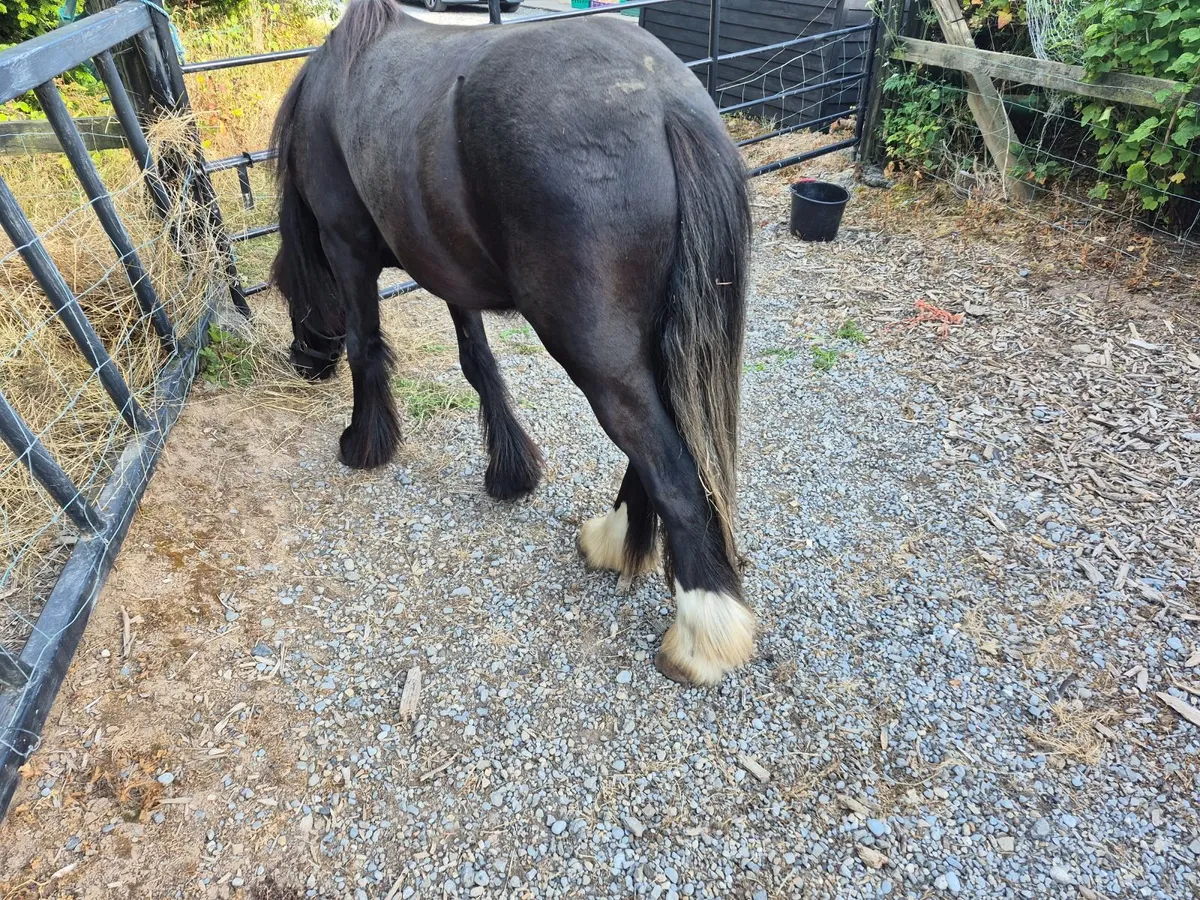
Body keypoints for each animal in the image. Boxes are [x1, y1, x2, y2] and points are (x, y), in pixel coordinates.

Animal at [270, 0, 753, 685]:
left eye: (289, 290)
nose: (303, 363)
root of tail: (665, 99)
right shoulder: (447, 267)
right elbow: (479, 362)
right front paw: (510, 468)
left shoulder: (347, 249)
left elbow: (368, 348)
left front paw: (364, 443)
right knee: (652, 451)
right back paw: (614, 540)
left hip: (594, 351)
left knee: (670, 468)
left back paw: (702, 634)